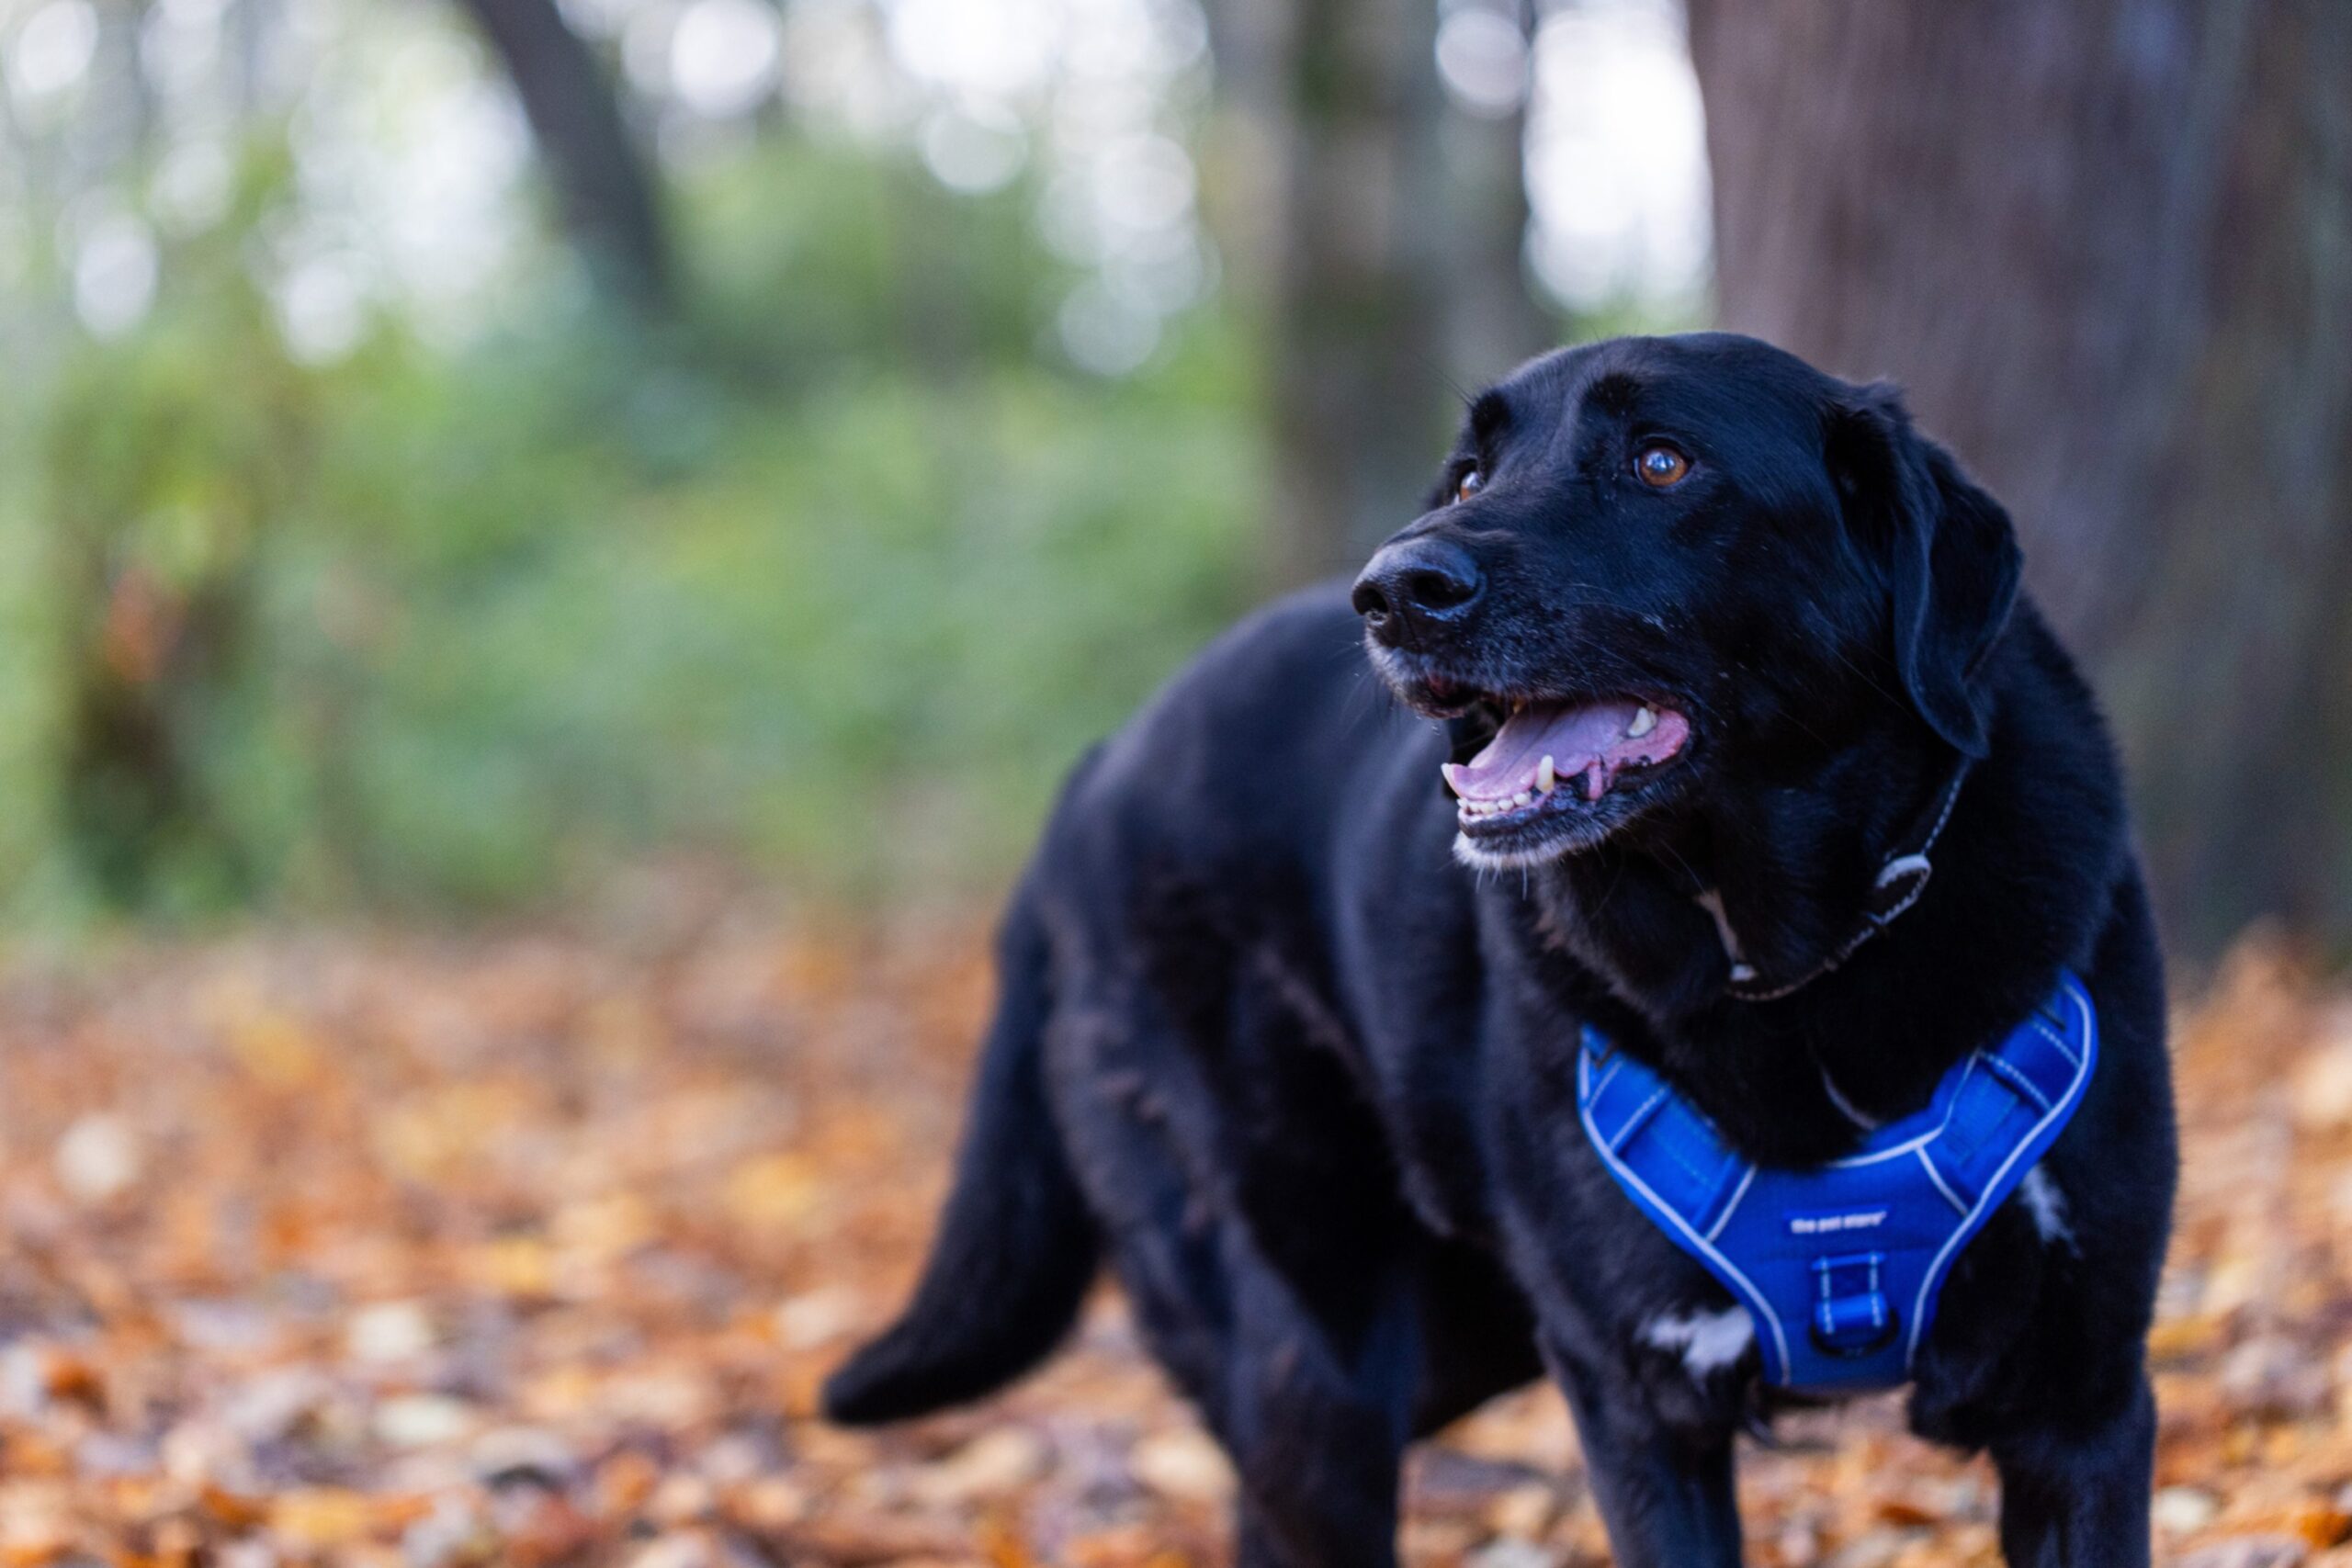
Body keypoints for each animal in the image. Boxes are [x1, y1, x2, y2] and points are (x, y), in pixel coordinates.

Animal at [823, 333, 2164, 1568]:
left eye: (1662, 461)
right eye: (1468, 475)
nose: (1391, 591)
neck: (1788, 968)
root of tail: (1097, 768)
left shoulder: (2081, 1404)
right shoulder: (1640, 1411)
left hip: (1443, 1340)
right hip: (1326, 1343)